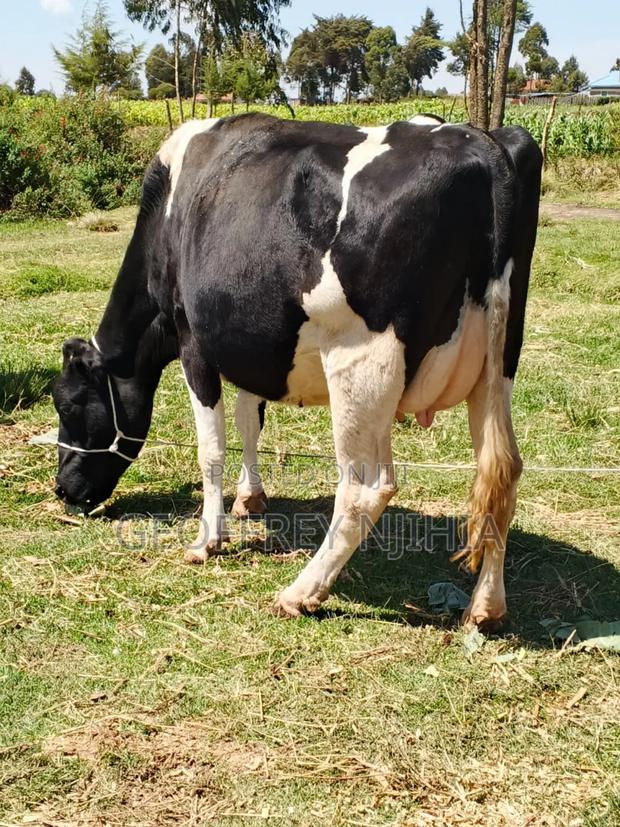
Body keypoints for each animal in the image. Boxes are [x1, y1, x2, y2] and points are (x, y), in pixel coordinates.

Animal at [52, 112, 542, 628]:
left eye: (67, 405)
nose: (62, 489)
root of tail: (480, 141)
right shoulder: (249, 342)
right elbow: (249, 420)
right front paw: (250, 498)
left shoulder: (195, 344)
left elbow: (211, 449)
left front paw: (208, 539)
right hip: (497, 365)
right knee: (503, 470)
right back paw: (486, 606)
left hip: (362, 365)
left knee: (366, 488)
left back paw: (301, 591)